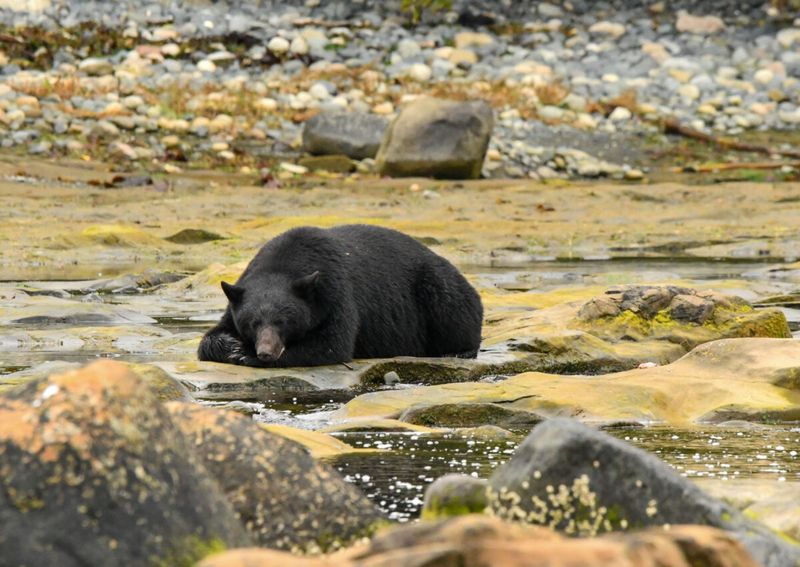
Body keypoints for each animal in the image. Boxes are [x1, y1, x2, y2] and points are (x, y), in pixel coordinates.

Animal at [197, 225, 484, 368]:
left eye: (283, 322)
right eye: (253, 323)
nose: (266, 352)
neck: (285, 263)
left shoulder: (335, 291)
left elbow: (331, 343)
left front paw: (246, 356)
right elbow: (210, 338)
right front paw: (232, 346)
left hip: (436, 288)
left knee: (452, 309)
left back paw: (458, 351)